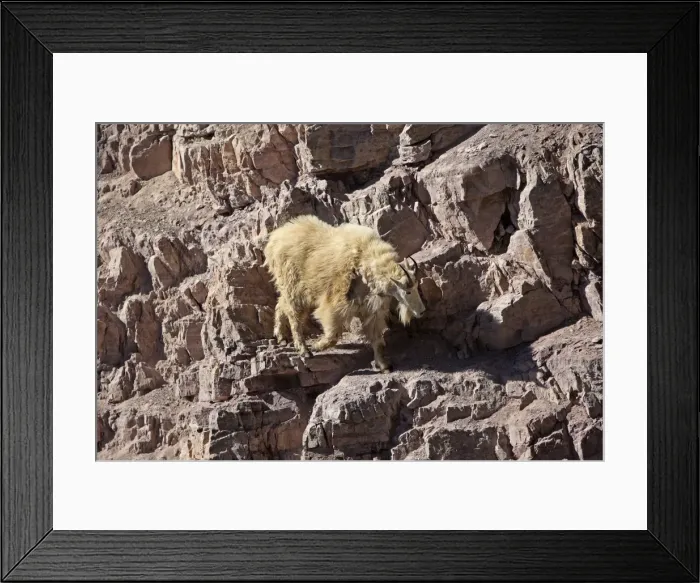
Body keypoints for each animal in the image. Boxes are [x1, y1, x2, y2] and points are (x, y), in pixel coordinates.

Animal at [263, 215, 426, 372]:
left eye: (417, 287)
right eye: (408, 291)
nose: (422, 311)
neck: (363, 265)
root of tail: (274, 239)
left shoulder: (371, 311)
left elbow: (377, 340)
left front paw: (384, 366)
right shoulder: (335, 305)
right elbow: (333, 334)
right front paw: (317, 346)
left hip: (291, 288)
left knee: (281, 304)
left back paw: (281, 337)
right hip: (293, 287)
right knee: (294, 316)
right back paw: (304, 350)